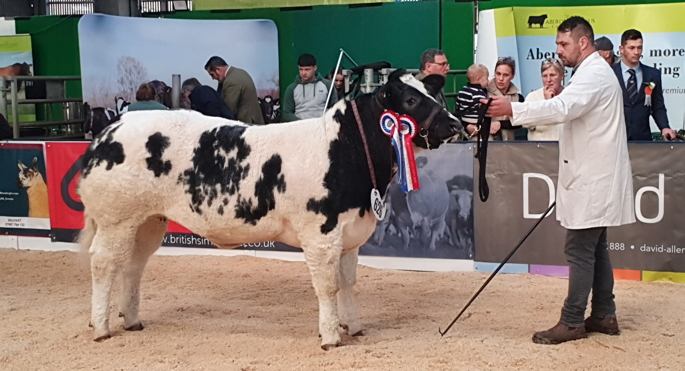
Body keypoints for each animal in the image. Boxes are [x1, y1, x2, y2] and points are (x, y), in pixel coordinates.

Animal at [77, 70, 464, 352]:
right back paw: (102, 327)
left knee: (133, 265)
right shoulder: (320, 234)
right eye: (411, 99)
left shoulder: (349, 234)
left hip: (147, 220)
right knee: (103, 263)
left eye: (437, 96)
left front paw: (353, 326)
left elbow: (348, 283)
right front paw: (330, 337)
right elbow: (327, 287)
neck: (348, 150)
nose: (455, 125)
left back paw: (131, 320)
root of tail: (109, 131)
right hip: (116, 217)